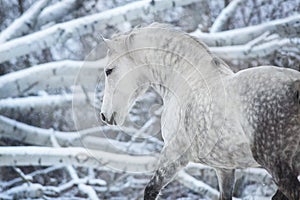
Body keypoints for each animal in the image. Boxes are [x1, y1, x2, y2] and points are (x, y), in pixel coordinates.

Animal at [101, 23, 300, 198]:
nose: (104, 115)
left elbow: (151, 190)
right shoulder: (224, 169)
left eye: (108, 71)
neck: (185, 81)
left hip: (277, 166)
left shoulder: (174, 154)